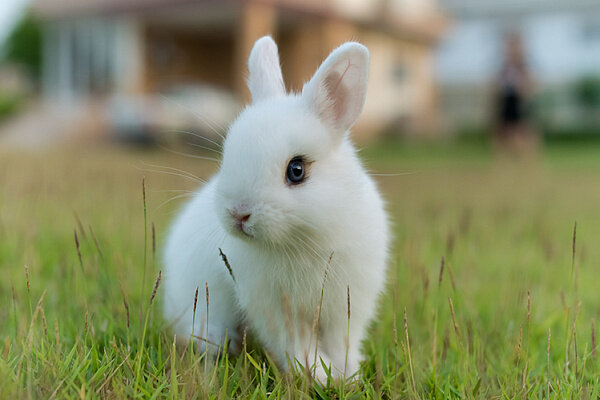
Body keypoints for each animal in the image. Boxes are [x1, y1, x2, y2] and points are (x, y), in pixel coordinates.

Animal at [164, 35, 390, 382]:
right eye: (227, 155)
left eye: (296, 170)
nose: (238, 213)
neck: (304, 240)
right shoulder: (276, 310)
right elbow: (297, 345)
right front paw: (319, 376)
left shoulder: (347, 305)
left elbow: (343, 342)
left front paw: (346, 376)